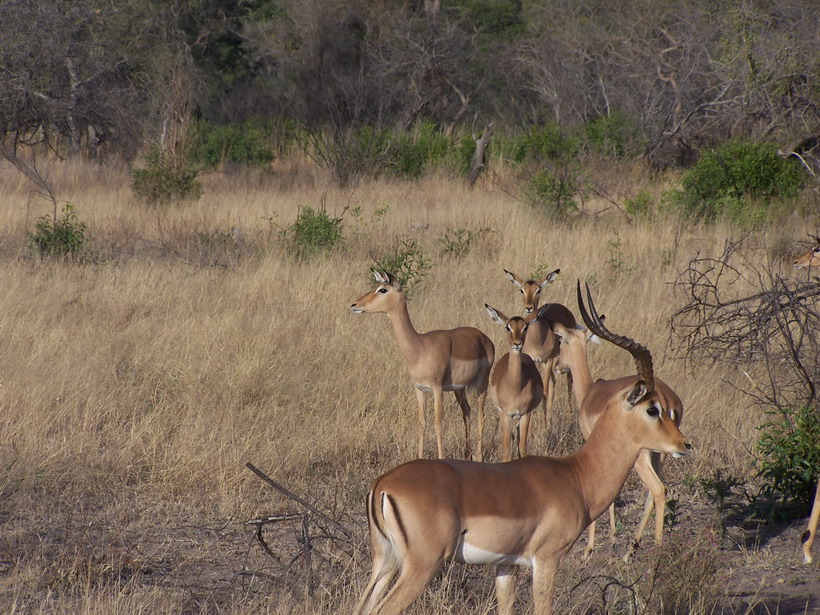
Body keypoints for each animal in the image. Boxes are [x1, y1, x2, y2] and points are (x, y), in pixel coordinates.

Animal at [350, 272, 494, 460]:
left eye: (383, 289)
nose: (355, 305)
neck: (420, 347)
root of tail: (485, 338)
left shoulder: (437, 388)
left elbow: (438, 423)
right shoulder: (419, 389)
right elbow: (422, 423)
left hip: (482, 384)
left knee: (481, 416)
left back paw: (480, 457)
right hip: (459, 389)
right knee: (467, 412)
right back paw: (468, 456)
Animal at [486, 306, 544, 460]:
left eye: (525, 327)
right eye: (508, 327)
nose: (517, 343)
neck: (515, 387)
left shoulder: (526, 413)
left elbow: (522, 446)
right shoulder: (507, 414)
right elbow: (507, 448)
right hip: (502, 414)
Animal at [506, 270, 576, 428]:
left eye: (538, 290)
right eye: (522, 290)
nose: (529, 307)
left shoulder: (548, 359)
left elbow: (544, 390)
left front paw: (543, 427)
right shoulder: (535, 360)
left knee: (569, 381)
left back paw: (568, 415)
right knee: (553, 383)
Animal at [552, 282, 684, 560]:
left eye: (561, 341)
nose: (558, 365)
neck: (590, 392)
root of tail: (670, 399)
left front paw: (591, 548)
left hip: (643, 457)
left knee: (659, 490)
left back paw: (653, 550)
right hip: (661, 454)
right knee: (655, 492)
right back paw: (631, 549)